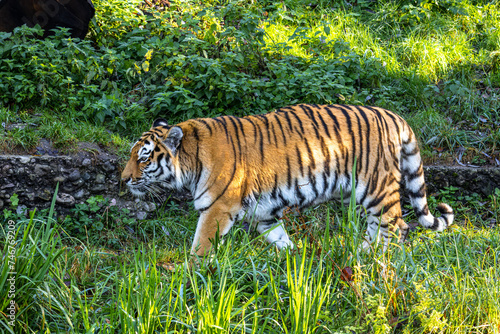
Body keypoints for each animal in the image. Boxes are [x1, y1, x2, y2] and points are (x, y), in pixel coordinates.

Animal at [120, 104, 454, 256]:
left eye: (144, 158)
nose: (123, 179)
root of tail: (393, 115)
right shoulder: (264, 213)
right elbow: (281, 238)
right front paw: (294, 260)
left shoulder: (217, 209)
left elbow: (200, 246)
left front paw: (191, 275)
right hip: (359, 196)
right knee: (379, 226)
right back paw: (360, 254)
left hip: (376, 188)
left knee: (398, 226)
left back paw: (375, 261)